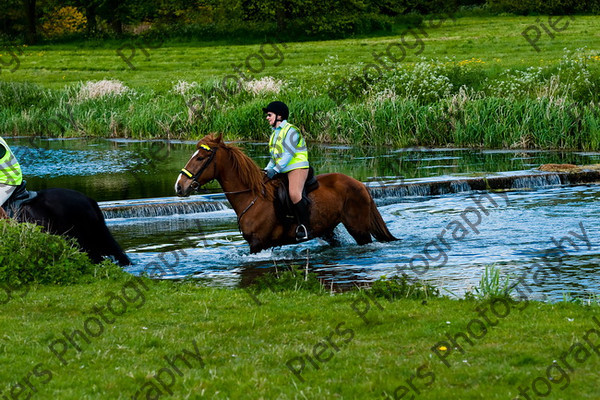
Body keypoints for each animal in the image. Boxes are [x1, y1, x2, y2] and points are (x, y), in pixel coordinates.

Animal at [175, 134, 398, 253]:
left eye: (201, 157)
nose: (179, 186)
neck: (252, 197)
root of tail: (359, 184)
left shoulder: (257, 244)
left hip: (358, 228)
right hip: (328, 228)